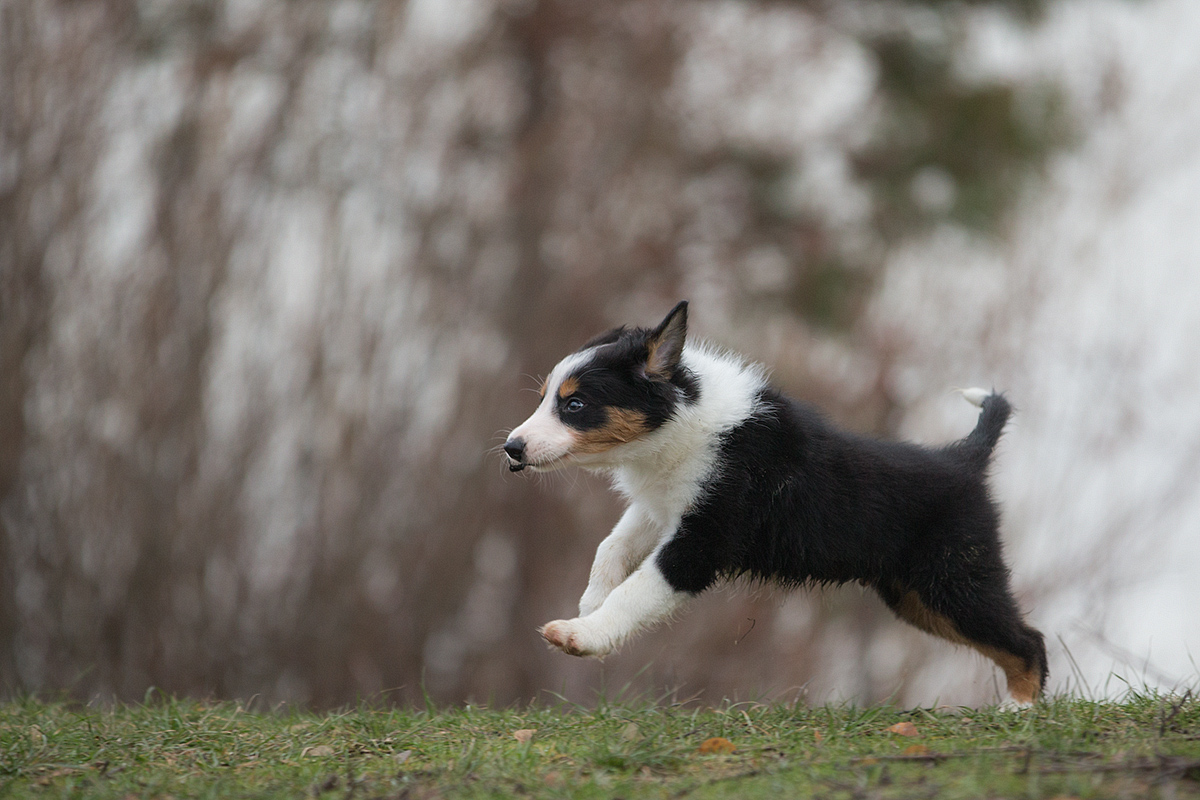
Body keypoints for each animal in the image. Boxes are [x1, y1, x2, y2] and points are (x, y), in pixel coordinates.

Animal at [501, 303, 1046, 705]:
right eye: (546, 397)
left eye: (574, 405)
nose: (511, 448)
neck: (683, 419)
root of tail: (965, 459)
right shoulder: (663, 507)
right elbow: (611, 546)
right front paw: (591, 600)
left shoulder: (702, 542)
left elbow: (637, 592)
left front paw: (582, 634)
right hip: (916, 597)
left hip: (955, 580)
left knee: (1028, 641)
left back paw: (1019, 713)